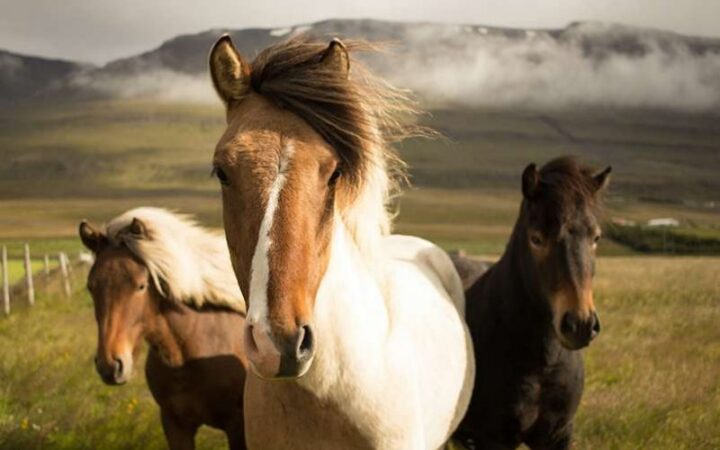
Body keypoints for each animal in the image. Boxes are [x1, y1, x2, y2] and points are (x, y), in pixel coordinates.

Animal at [453, 157, 611, 450]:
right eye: (536, 238)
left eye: (596, 237)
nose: (580, 325)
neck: (541, 363)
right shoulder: (494, 439)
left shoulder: (558, 434)